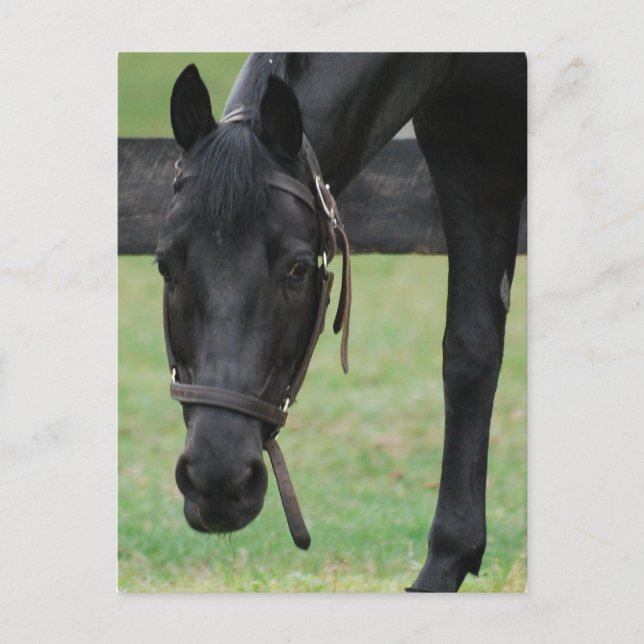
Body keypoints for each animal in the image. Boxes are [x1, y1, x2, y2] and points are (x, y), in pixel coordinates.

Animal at [156, 53, 526, 592]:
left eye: (298, 269)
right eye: (165, 264)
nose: (218, 480)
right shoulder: (469, 149)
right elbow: (471, 349)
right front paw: (446, 563)